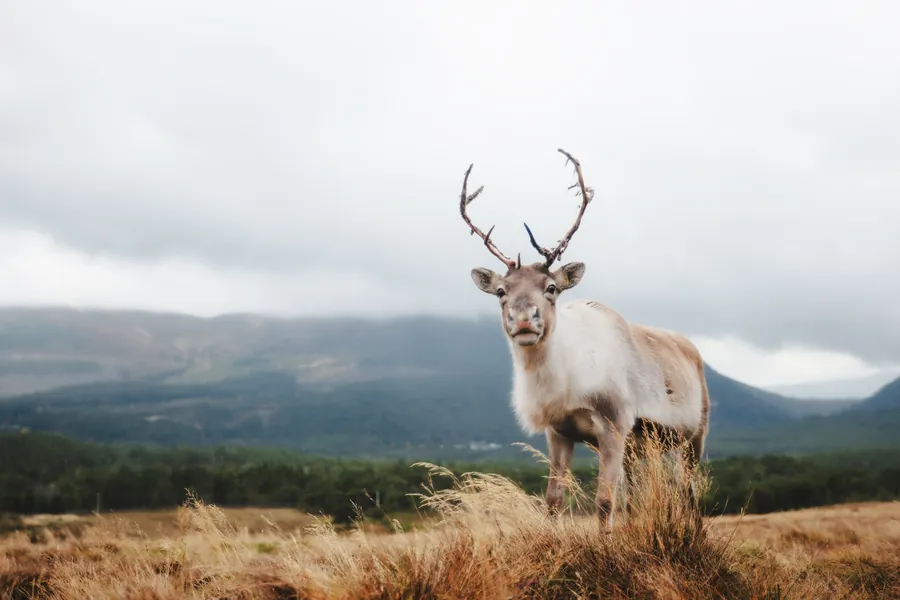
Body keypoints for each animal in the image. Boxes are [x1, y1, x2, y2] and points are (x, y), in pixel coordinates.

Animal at [459, 149, 711, 532]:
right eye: (501, 291)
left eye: (551, 288)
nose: (524, 318)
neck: (569, 381)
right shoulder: (559, 433)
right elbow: (553, 501)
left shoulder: (614, 425)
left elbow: (604, 503)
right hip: (641, 447)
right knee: (637, 496)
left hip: (695, 433)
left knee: (690, 494)